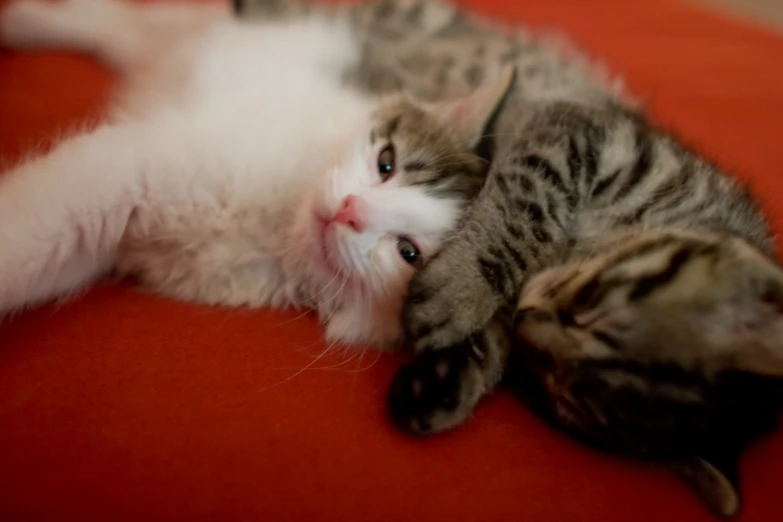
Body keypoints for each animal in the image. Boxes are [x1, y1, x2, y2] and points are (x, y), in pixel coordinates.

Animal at [0, 0, 516, 348]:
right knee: (135, 23)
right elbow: (28, 236)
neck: (277, 222)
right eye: (385, 163)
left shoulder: (123, 238)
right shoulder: (127, 168)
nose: (351, 210)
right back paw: (27, 20)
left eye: (408, 252)